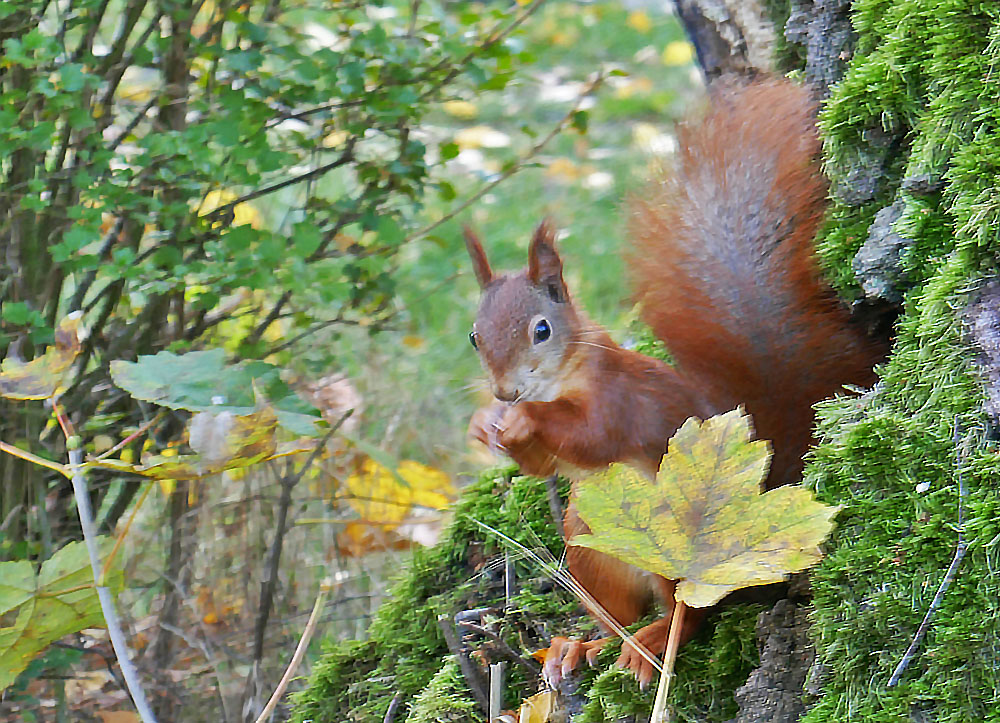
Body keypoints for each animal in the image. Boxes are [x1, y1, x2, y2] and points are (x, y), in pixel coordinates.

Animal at [464, 80, 880, 692]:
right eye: (474, 337)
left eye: (542, 329)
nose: (505, 393)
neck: (563, 379)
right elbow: (542, 467)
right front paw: (484, 426)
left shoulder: (620, 399)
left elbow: (592, 437)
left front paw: (523, 420)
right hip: (589, 545)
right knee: (618, 613)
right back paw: (580, 646)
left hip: (670, 542)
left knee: (692, 611)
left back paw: (653, 644)